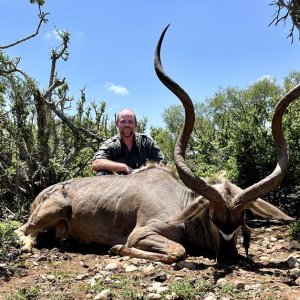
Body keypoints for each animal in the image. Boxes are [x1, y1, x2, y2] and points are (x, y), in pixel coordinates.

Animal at [16, 26, 300, 264]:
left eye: (242, 218)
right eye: (211, 215)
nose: (229, 258)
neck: (181, 202)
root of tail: (43, 193)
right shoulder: (142, 233)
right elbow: (177, 250)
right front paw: (116, 248)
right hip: (53, 210)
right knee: (22, 232)